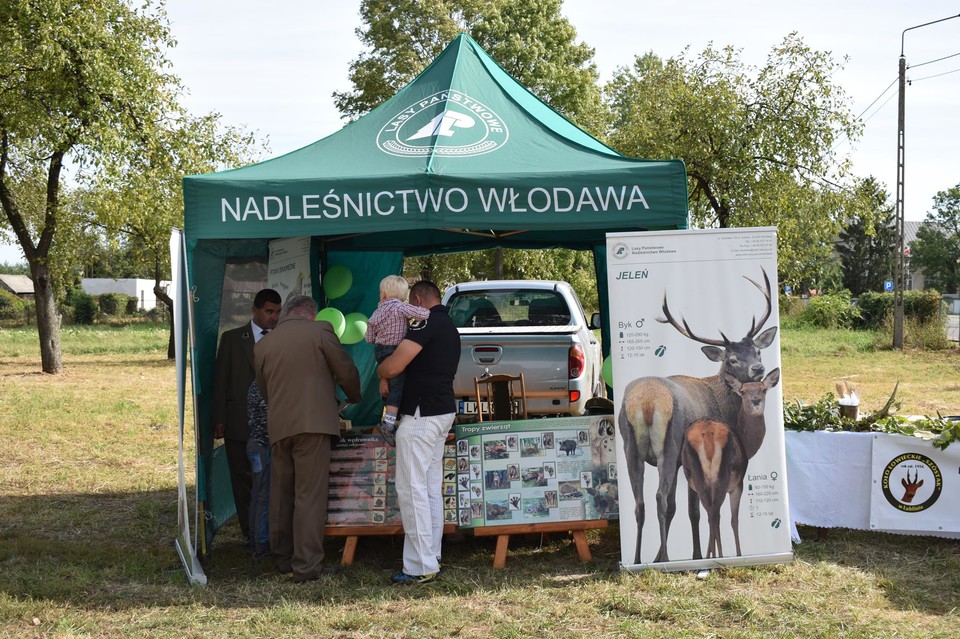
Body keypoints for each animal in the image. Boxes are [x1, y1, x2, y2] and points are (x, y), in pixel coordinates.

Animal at [616, 270, 780, 564]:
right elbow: (692, 511)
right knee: (659, 498)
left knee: (639, 503)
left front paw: (659, 557)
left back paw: (636, 561)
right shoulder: (687, 460)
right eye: (732, 359)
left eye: (758, 351)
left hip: (629, 446)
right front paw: (694, 555)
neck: (724, 408)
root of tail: (645, 402)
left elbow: (676, 507)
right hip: (669, 445)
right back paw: (665, 558)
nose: (758, 368)